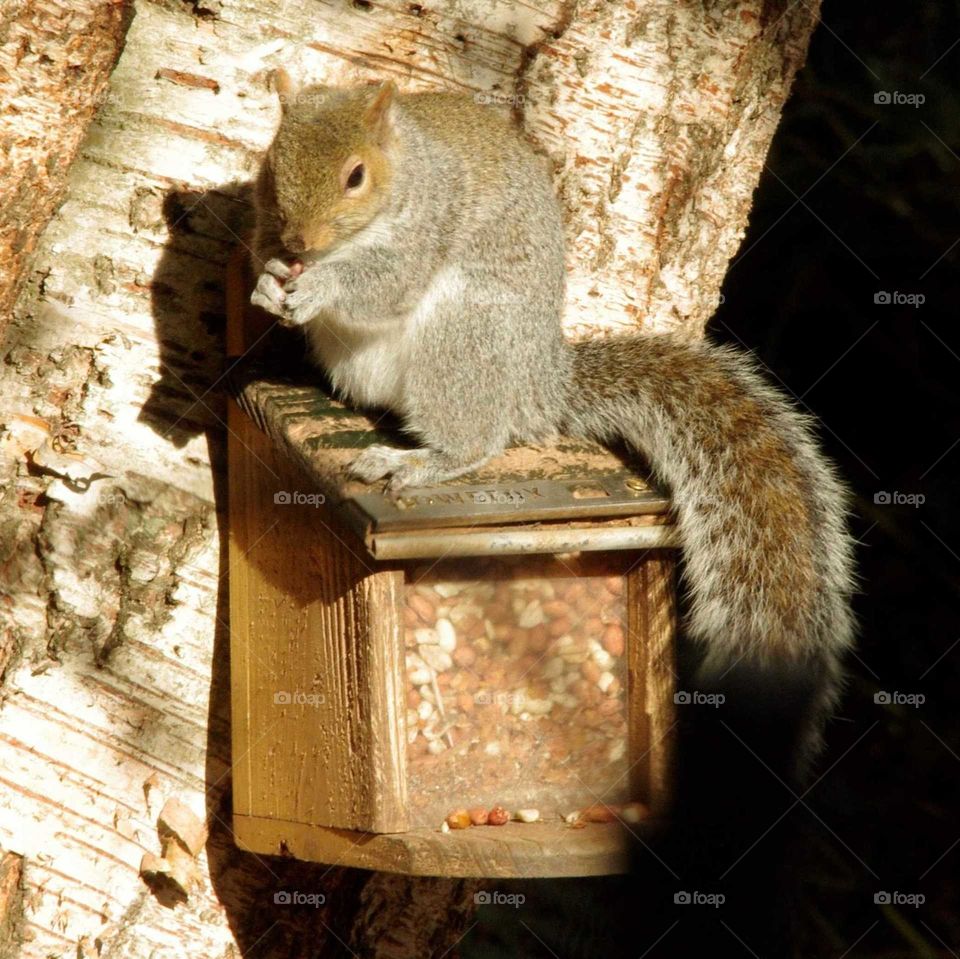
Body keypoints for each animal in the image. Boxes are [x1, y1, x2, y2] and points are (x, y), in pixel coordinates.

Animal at [250, 71, 856, 777]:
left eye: (356, 176)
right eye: (270, 163)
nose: (300, 246)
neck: (403, 171)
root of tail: (539, 384)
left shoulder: (430, 222)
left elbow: (385, 282)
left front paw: (322, 286)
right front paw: (267, 277)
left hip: (464, 336)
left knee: (477, 440)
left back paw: (417, 460)